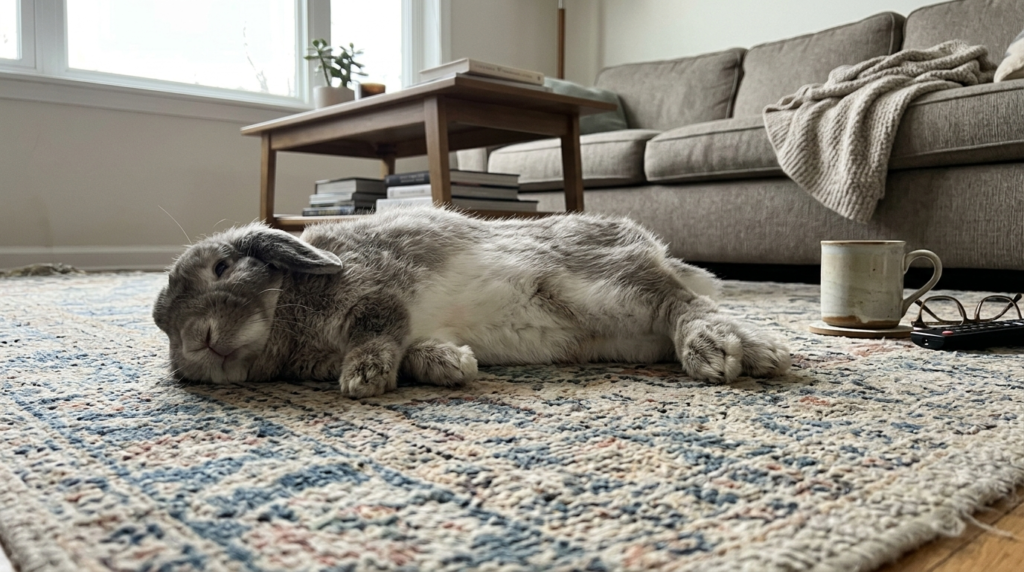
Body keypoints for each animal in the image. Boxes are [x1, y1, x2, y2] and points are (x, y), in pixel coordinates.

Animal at [153, 207, 790, 398]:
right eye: (161, 324)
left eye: (222, 267)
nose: (195, 343)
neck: (289, 304)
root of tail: (648, 244)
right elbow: (414, 348)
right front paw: (451, 365)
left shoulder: (378, 293)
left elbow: (377, 332)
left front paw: (362, 380)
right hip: (625, 332)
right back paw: (757, 353)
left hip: (613, 285)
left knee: (685, 306)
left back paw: (726, 351)